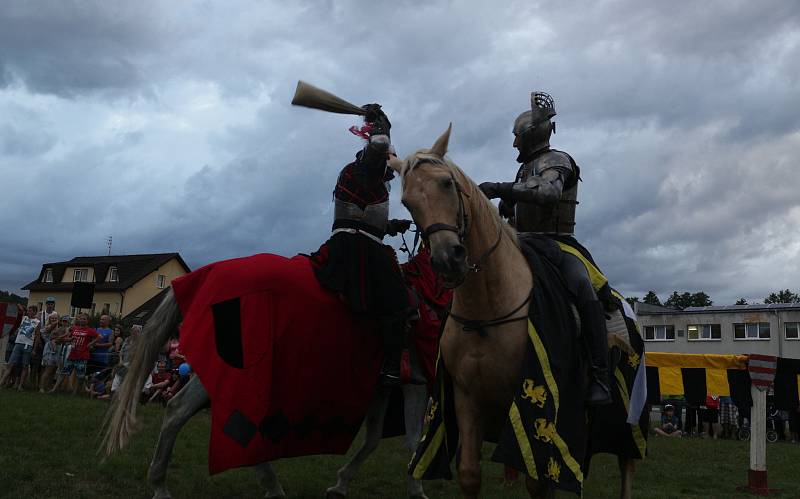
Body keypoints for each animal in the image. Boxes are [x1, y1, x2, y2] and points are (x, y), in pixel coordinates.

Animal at [104, 290, 434, 499]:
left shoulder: (383, 387)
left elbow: (374, 438)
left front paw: (340, 485)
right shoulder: (415, 384)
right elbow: (412, 439)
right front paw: (417, 489)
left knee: (178, 409)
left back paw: (160, 485)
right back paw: (271, 486)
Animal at [390, 126, 636, 499]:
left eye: (446, 183)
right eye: (407, 202)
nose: (448, 259)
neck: (486, 310)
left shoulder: (534, 411)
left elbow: (537, 480)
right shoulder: (466, 398)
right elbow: (469, 473)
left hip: (629, 415)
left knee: (626, 465)